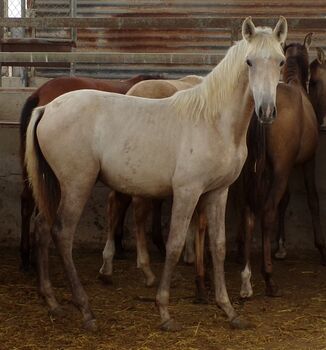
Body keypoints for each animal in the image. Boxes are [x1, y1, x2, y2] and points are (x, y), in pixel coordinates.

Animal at [237, 33, 326, 300]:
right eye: (314, 81)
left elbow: (285, 201)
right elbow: (312, 199)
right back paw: (268, 278)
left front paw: (281, 248)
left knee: (249, 214)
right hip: (280, 171)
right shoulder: (306, 162)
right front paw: (321, 248)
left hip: (252, 171)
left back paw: (246, 281)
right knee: (266, 212)